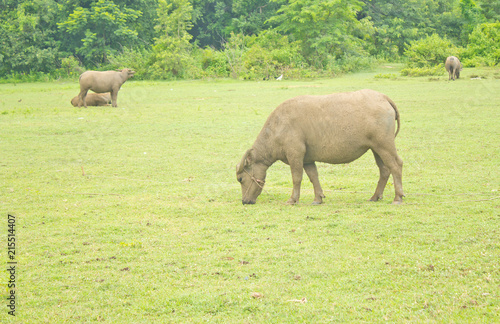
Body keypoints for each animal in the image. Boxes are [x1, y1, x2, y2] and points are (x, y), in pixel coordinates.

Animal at [236, 88, 404, 205]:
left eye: (240, 178)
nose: (245, 201)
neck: (277, 127)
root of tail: (383, 97)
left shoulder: (295, 155)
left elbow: (296, 178)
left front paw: (292, 199)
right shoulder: (307, 159)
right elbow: (313, 176)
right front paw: (318, 198)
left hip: (384, 145)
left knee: (396, 165)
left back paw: (398, 197)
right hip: (376, 148)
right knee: (384, 170)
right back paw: (375, 196)